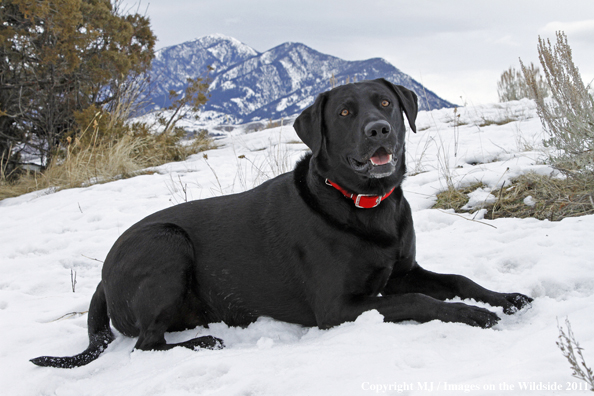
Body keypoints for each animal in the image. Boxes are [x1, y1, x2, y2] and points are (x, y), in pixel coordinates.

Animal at [32, 78, 528, 368]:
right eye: (345, 113)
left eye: (385, 103)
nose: (379, 130)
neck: (363, 204)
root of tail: (101, 276)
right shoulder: (338, 308)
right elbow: (420, 301)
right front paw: (474, 315)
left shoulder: (402, 272)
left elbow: (456, 279)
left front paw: (505, 298)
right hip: (166, 244)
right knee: (146, 344)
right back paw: (201, 345)